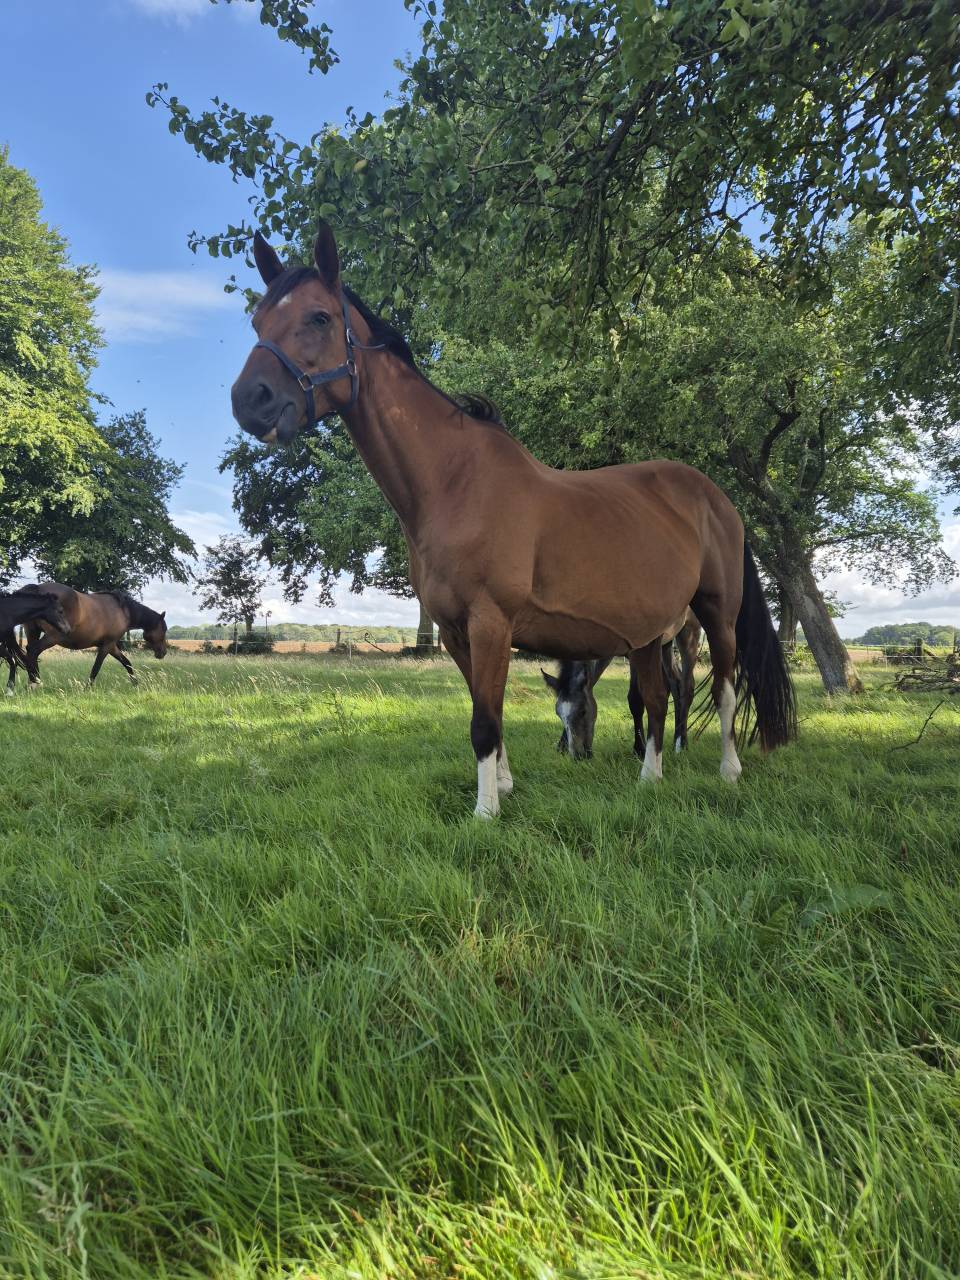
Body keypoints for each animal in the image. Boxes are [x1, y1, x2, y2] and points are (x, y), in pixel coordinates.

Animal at [14, 584, 168, 689]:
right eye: (164, 629)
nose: (163, 653)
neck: (123, 611)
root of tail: (38, 588)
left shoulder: (111, 646)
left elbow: (127, 663)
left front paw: (136, 684)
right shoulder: (107, 646)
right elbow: (96, 668)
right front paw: (87, 688)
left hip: (33, 632)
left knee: (31, 653)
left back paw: (34, 682)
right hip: (53, 637)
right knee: (33, 651)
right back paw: (34, 683)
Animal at [543, 611, 703, 760]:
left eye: (583, 711)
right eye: (558, 713)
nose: (579, 756)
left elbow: (635, 700)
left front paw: (639, 749)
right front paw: (561, 746)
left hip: (689, 632)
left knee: (687, 687)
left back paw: (682, 744)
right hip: (665, 644)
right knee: (676, 684)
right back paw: (675, 740)